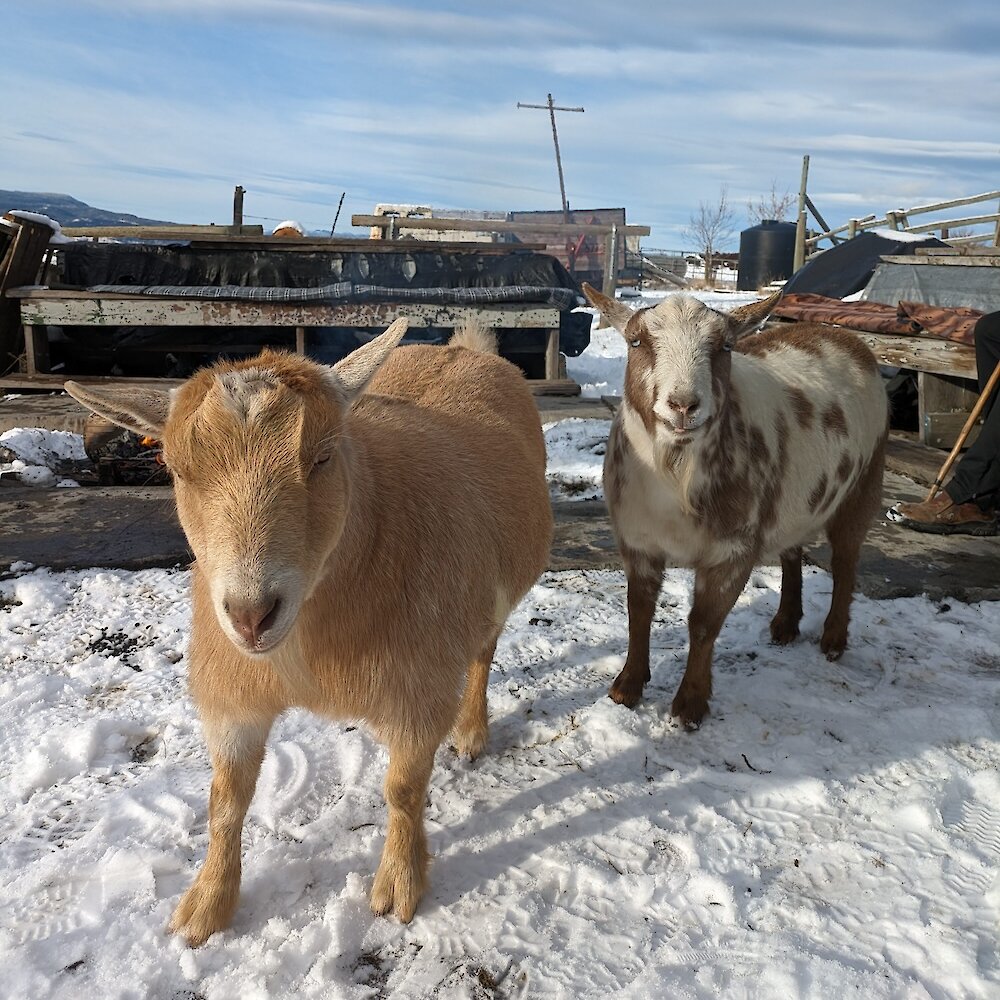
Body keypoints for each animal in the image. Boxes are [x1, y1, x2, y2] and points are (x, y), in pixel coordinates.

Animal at [68, 322, 556, 944]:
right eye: (177, 470)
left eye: (322, 456)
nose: (251, 615)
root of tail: (462, 348)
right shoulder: (233, 694)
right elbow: (225, 801)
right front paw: (207, 906)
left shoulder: (419, 688)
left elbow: (402, 790)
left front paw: (399, 885)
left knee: (484, 652)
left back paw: (471, 731)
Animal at [584, 282, 888, 728]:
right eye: (636, 341)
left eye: (725, 345)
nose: (683, 405)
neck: (676, 474)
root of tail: (844, 337)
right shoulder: (638, 539)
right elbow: (639, 611)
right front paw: (627, 687)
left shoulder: (732, 549)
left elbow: (703, 624)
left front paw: (690, 705)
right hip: (792, 497)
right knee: (792, 551)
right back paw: (785, 623)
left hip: (865, 480)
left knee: (847, 560)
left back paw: (833, 638)